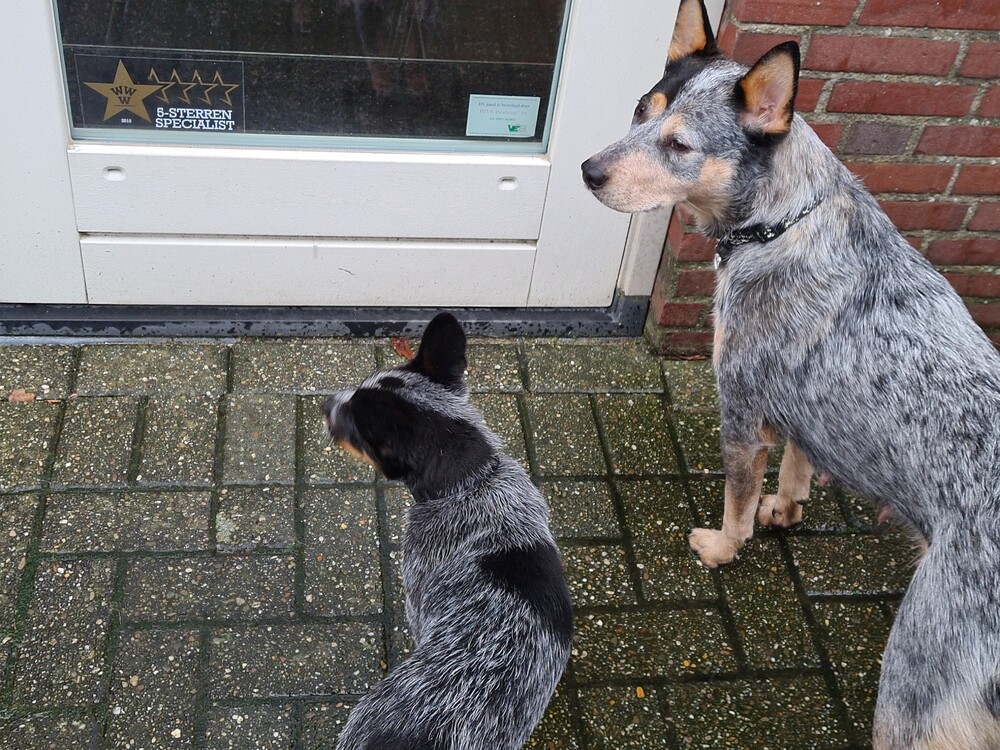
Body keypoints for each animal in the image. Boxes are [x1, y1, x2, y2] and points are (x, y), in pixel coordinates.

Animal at [581, 1, 1000, 747]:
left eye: (680, 146)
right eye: (639, 112)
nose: (586, 169)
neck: (780, 222)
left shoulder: (742, 408)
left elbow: (737, 502)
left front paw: (723, 545)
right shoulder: (802, 406)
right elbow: (798, 467)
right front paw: (787, 507)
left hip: (913, 696)